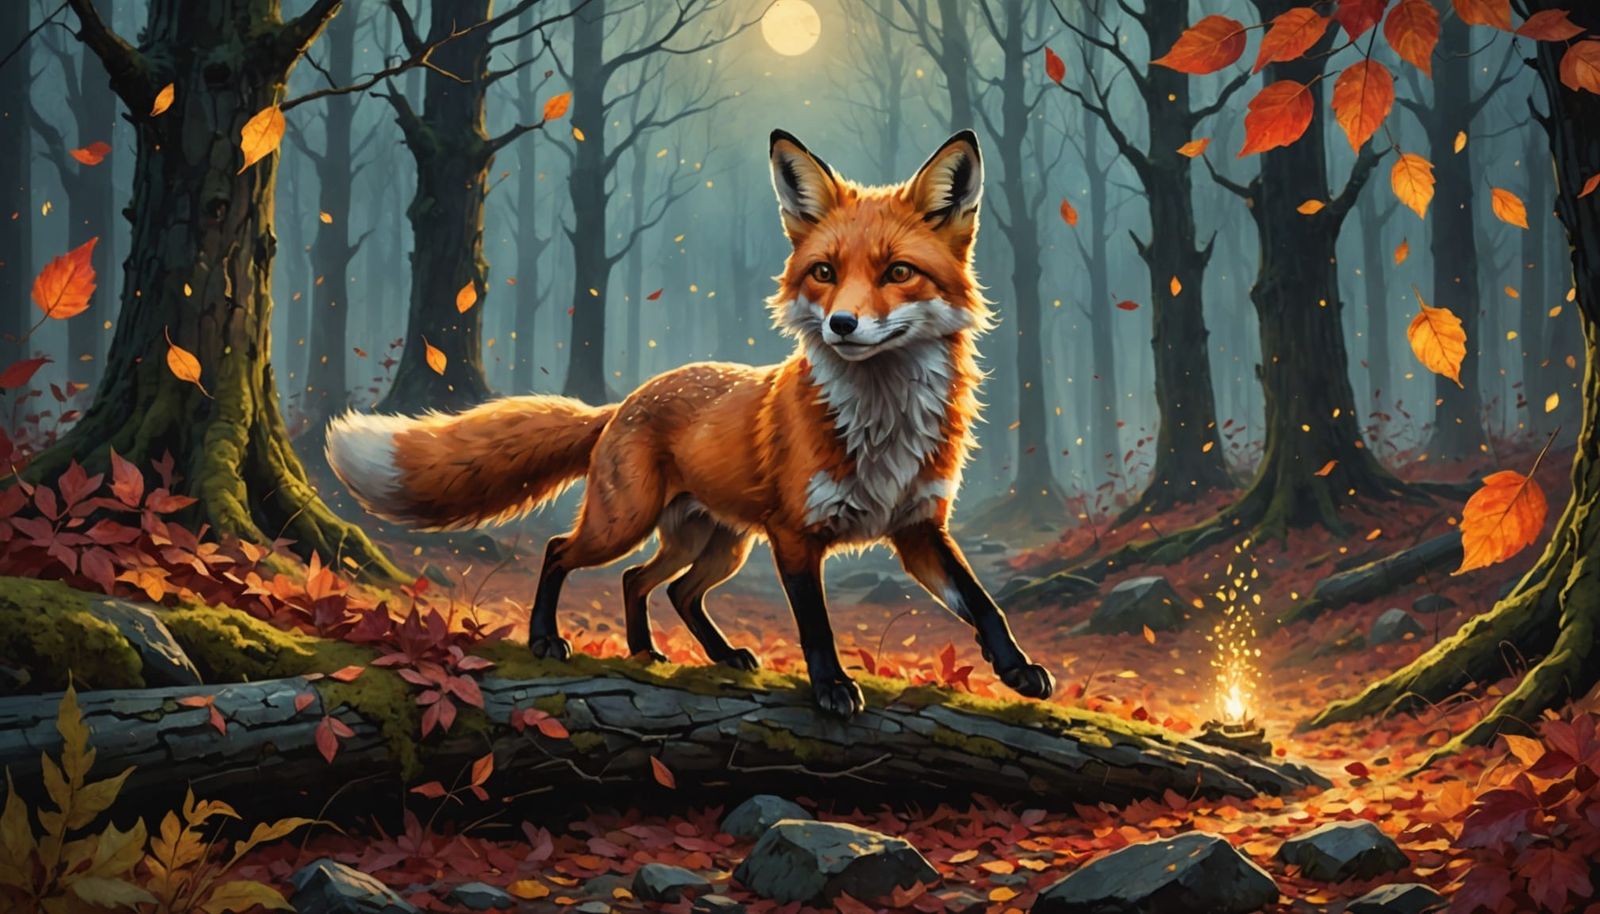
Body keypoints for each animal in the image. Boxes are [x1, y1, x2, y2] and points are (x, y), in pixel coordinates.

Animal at [325, 129, 1055, 718]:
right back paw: (547, 638)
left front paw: (1019, 671)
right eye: (824, 272)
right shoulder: (796, 537)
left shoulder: (918, 527)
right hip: (629, 523)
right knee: (565, 553)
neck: (880, 426)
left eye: (899, 271)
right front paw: (831, 688)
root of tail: (626, 400)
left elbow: (982, 603)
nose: (842, 325)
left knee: (659, 587)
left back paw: (671, 652)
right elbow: (815, 625)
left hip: (716, 545)